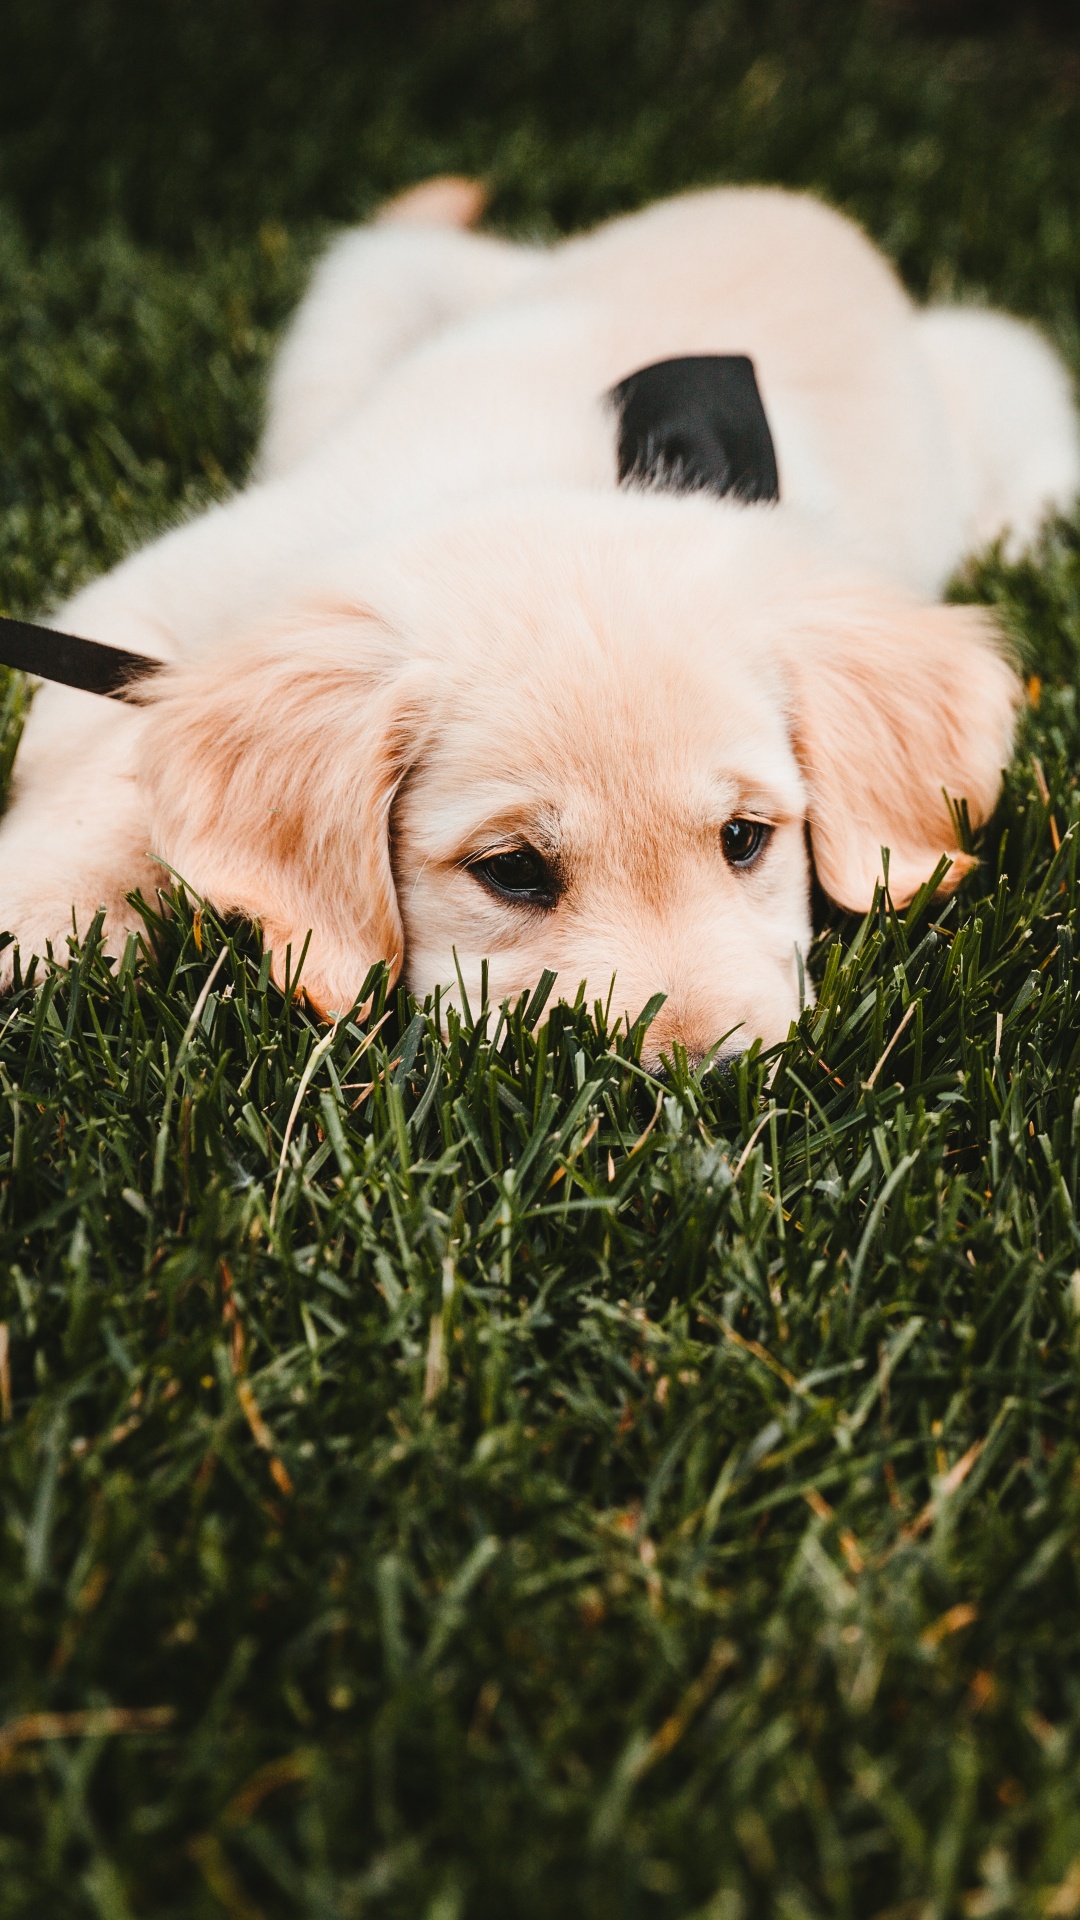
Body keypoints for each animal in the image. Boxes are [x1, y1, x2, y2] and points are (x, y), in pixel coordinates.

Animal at [0, 180, 1068, 1067]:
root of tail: (790, 205)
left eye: (744, 840)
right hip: (370, 289)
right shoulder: (148, 603)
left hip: (1005, 372)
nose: (711, 1081)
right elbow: (102, 790)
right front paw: (39, 920)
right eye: (512, 871)